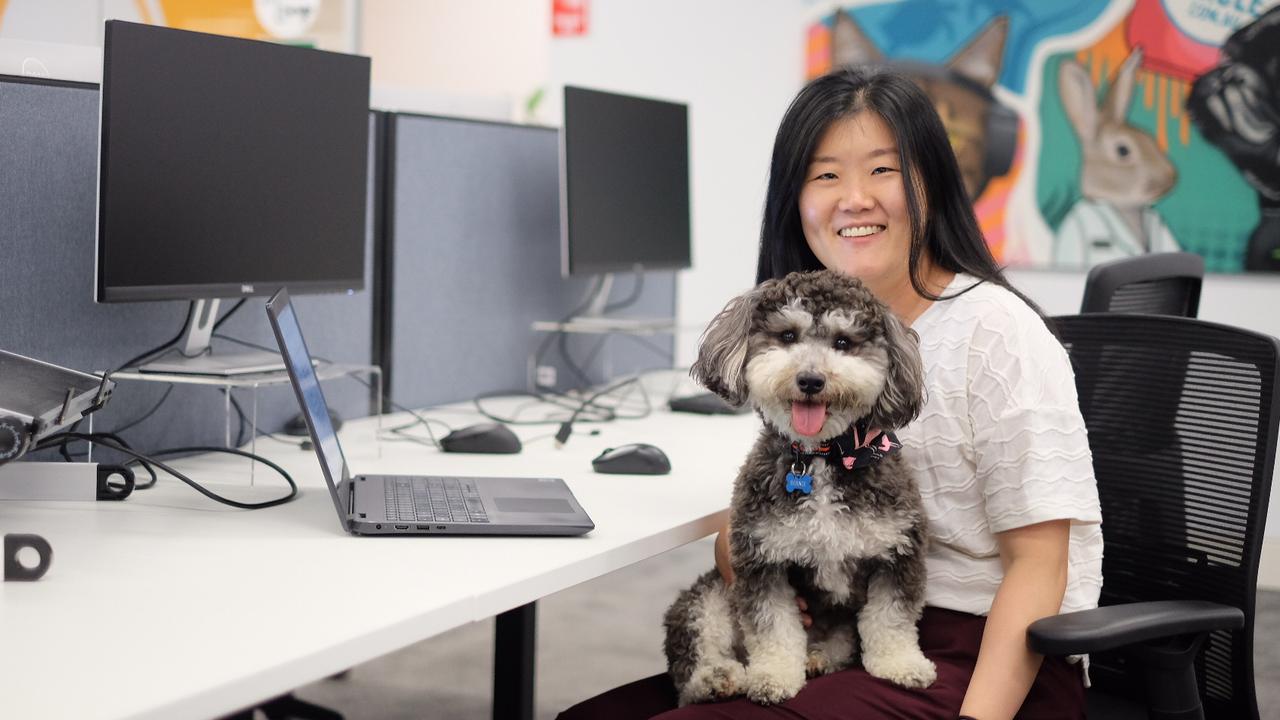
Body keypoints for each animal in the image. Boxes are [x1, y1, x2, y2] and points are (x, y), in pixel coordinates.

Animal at [665, 267, 936, 702]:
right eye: (788, 335)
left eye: (843, 342)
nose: (810, 380)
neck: (822, 456)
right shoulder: (762, 562)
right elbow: (773, 628)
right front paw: (773, 676)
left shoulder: (897, 555)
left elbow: (890, 619)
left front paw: (901, 665)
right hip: (708, 598)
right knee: (692, 663)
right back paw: (717, 678)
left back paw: (817, 657)